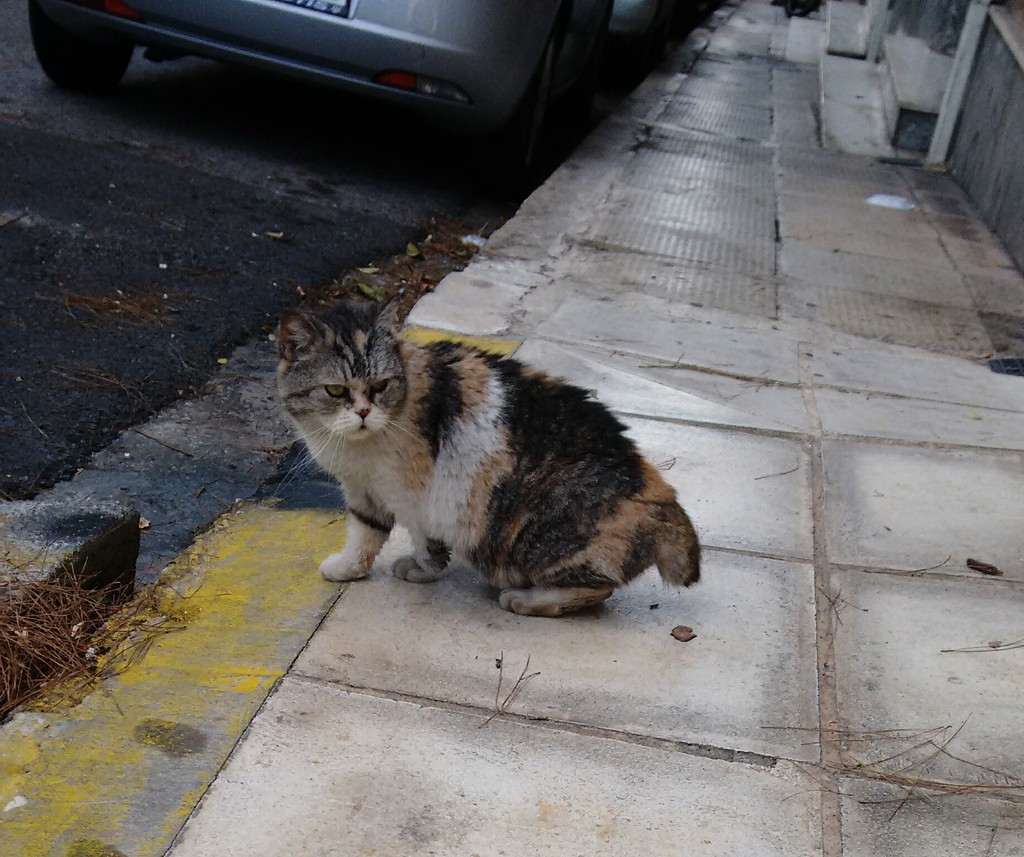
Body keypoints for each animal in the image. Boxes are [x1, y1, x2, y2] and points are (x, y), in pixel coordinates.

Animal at [276, 301, 700, 614]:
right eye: (335, 390)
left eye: (380, 385)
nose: (364, 412)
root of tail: (664, 500)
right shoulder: (364, 488)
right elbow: (365, 533)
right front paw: (348, 568)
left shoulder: (414, 491)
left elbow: (422, 537)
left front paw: (424, 569)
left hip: (535, 534)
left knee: (598, 587)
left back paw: (528, 600)